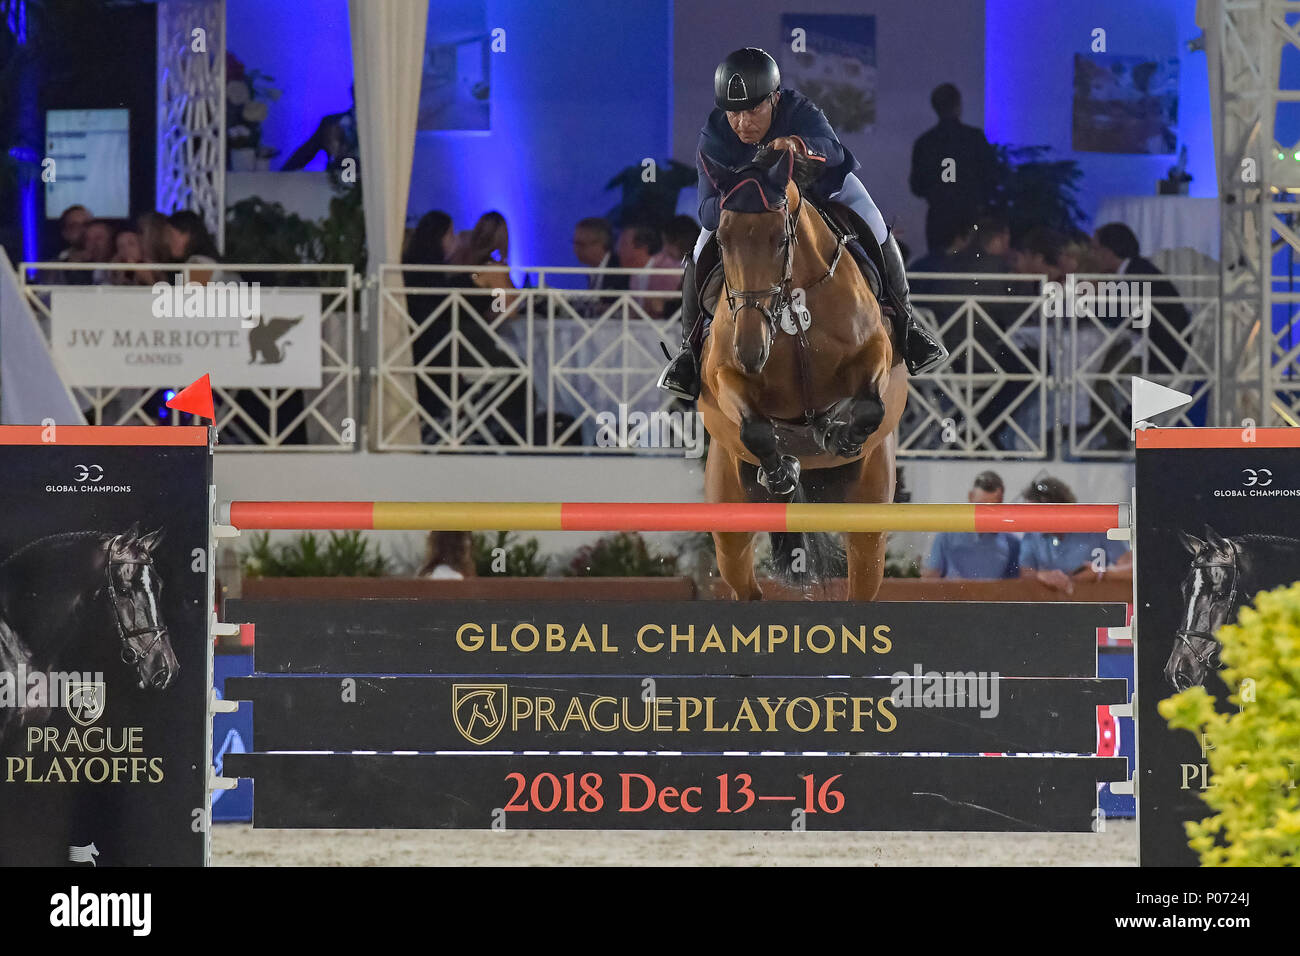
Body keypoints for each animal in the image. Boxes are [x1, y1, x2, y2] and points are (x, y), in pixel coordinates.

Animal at [702, 147, 904, 598]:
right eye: (722, 240)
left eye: (780, 239)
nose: (751, 350)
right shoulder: (725, 375)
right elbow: (756, 428)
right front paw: (782, 471)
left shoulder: (875, 352)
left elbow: (869, 407)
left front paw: (836, 433)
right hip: (729, 514)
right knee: (745, 584)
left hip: (868, 517)